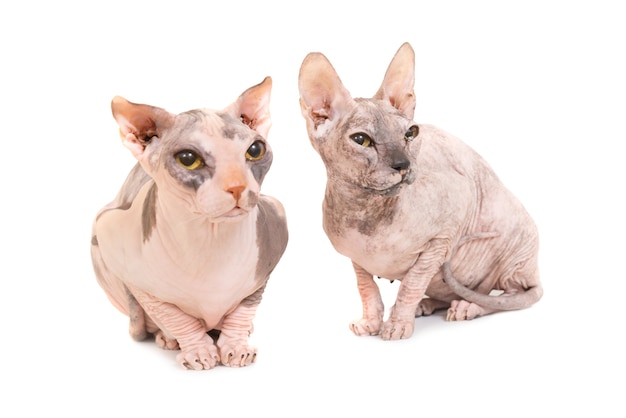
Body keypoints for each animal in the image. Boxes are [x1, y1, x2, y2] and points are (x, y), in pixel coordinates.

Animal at [89, 77, 288, 370]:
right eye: (188, 159)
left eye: (255, 150)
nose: (238, 187)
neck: (212, 240)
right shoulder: (114, 246)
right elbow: (172, 315)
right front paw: (198, 350)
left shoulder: (271, 244)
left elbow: (245, 308)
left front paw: (236, 346)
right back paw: (167, 339)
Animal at [298, 42, 540, 340]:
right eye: (361, 140)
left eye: (410, 134)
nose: (403, 164)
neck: (365, 213)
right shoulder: (355, 257)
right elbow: (367, 288)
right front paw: (371, 321)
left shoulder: (446, 230)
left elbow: (411, 282)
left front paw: (397, 325)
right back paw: (428, 305)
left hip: (515, 252)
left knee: (508, 296)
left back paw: (467, 306)